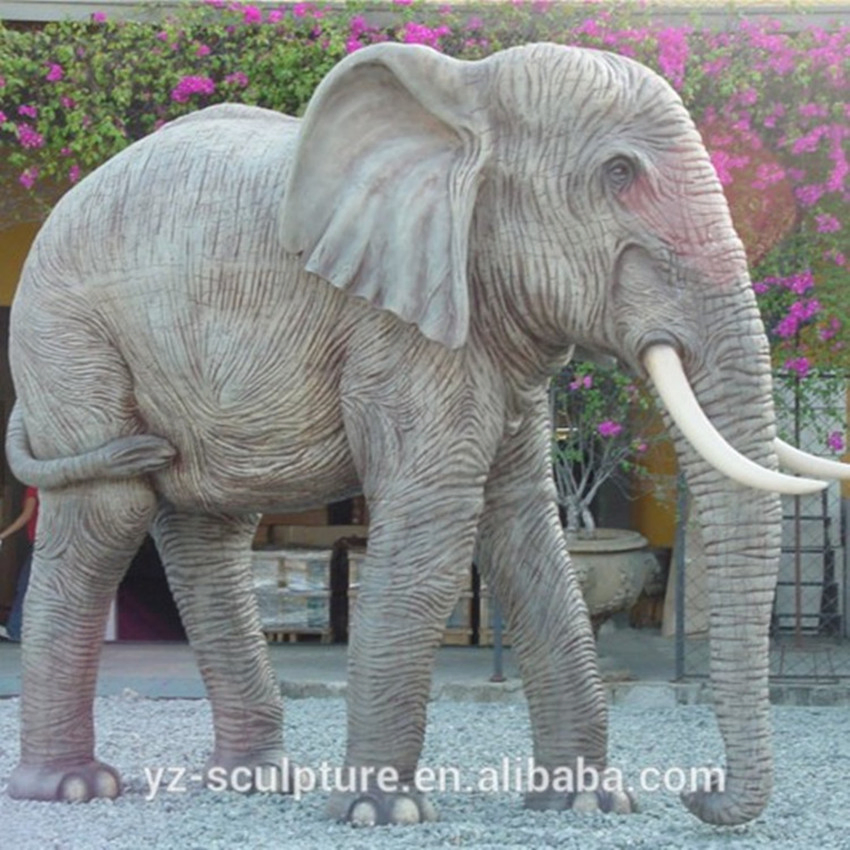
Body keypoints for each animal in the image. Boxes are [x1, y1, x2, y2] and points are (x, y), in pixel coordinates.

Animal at [4, 41, 847, 826]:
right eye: (617, 175)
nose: (700, 794)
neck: (466, 90)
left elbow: (525, 528)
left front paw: (586, 805)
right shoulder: (397, 329)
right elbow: (435, 518)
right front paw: (385, 813)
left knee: (209, 534)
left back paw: (255, 782)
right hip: (65, 333)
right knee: (109, 510)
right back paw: (74, 788)